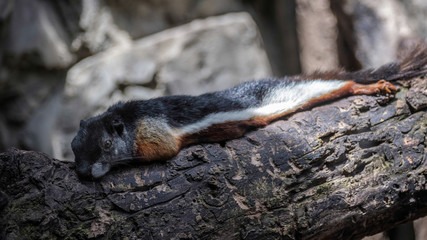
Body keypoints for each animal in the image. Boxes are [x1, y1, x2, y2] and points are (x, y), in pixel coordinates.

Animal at [72, 45, 427, 180]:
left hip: (307, 91)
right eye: (74, 146)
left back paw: (371, 86)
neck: (127, 121)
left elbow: (162, 151)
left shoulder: (153, 133)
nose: (83, 172)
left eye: (106, 145)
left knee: (342, 84)